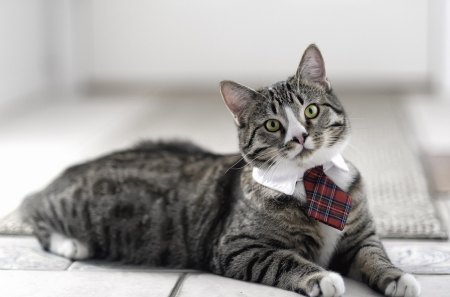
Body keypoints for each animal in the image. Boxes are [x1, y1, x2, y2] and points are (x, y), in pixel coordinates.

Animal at [21, 44, 422, 296]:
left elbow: (374, 254)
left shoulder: (359, 235)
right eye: (273, 125)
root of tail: (69, 171)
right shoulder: (237, 246)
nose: (300, 136)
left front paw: (398, 277)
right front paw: (322, 277)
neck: (313, 181)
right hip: (70, 206)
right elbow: (283, 260)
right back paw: (70, 242)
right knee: (34, 209)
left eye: (311, 110)